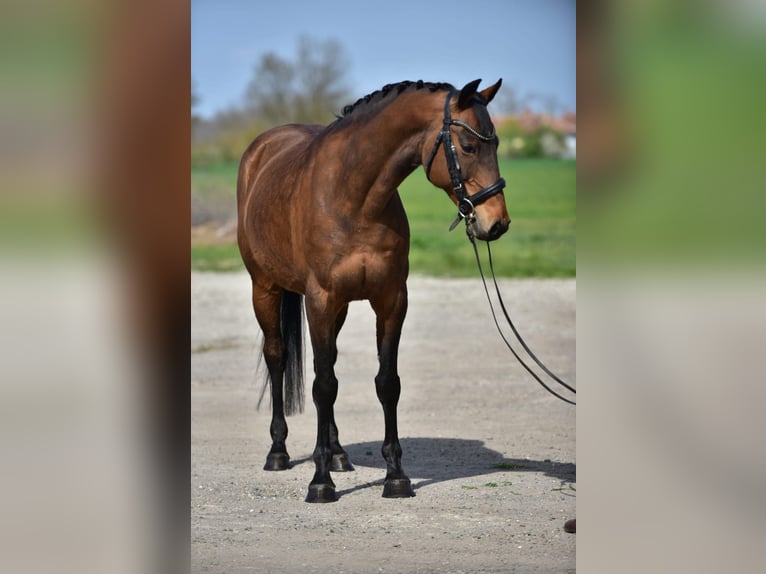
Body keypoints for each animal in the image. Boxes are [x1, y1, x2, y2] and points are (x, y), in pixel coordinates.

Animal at [236, 79, 510, 503]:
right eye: (468, 146)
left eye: (495, 144)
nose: (496, 223)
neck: (354, 197)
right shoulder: (320, 300)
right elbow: (323, 385)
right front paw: (320, 483)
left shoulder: (391, 300)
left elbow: (385, 383)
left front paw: (395, 475)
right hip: (264, 289)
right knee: (278, 357)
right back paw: (278, 452)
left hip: (340, 309)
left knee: (328, 365)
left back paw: (336, 453)